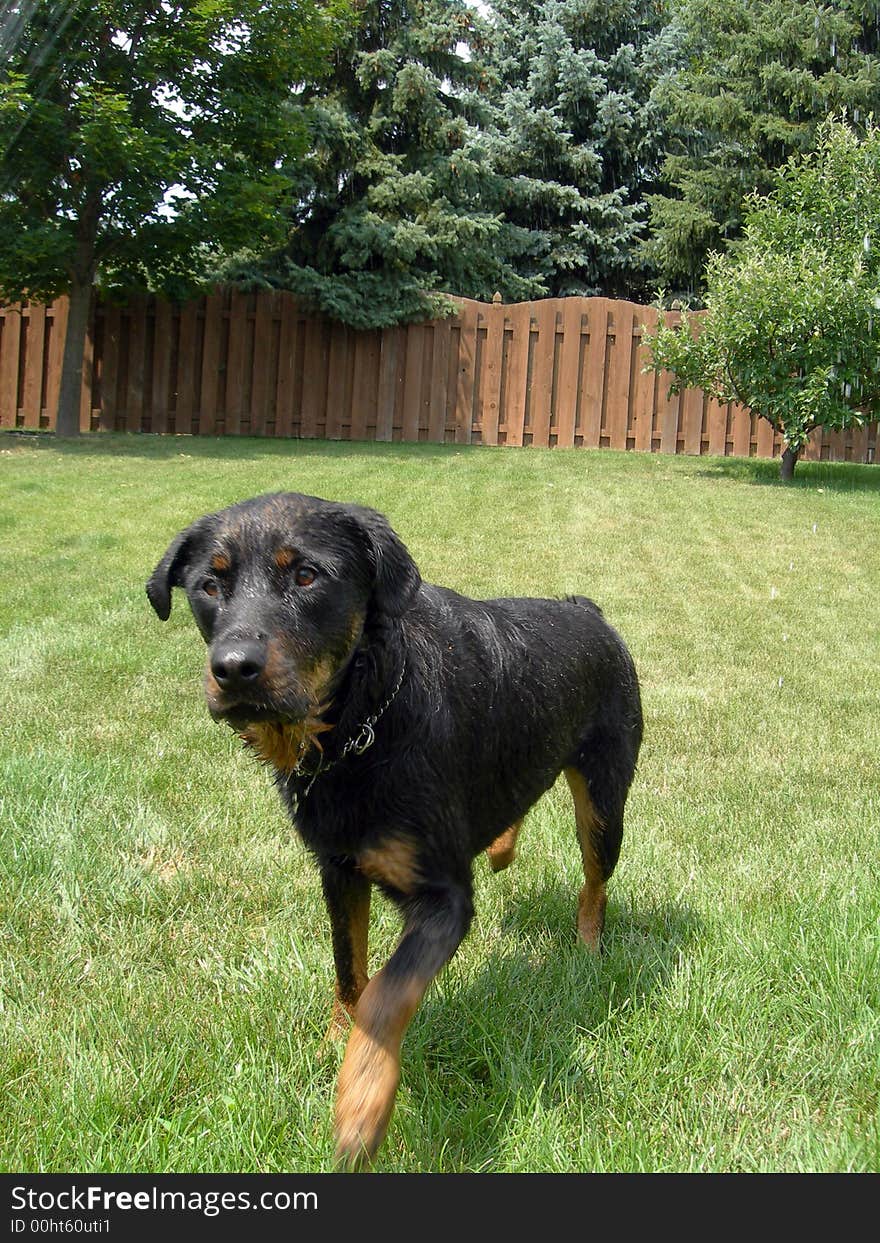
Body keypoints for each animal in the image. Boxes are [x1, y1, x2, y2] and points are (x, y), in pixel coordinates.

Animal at [142, 492, 641, 1163]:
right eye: (209, 585)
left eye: (307, 576)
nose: (232, 668)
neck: (359, 729)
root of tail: (587, 610)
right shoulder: (338, 870)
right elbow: (349, 970)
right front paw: (334, 1048)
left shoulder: (443, 899)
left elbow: (385, 992)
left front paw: (361, 1103)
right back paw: (501, 843)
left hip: (604, 802)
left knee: (595, 882)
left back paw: (587, 949)